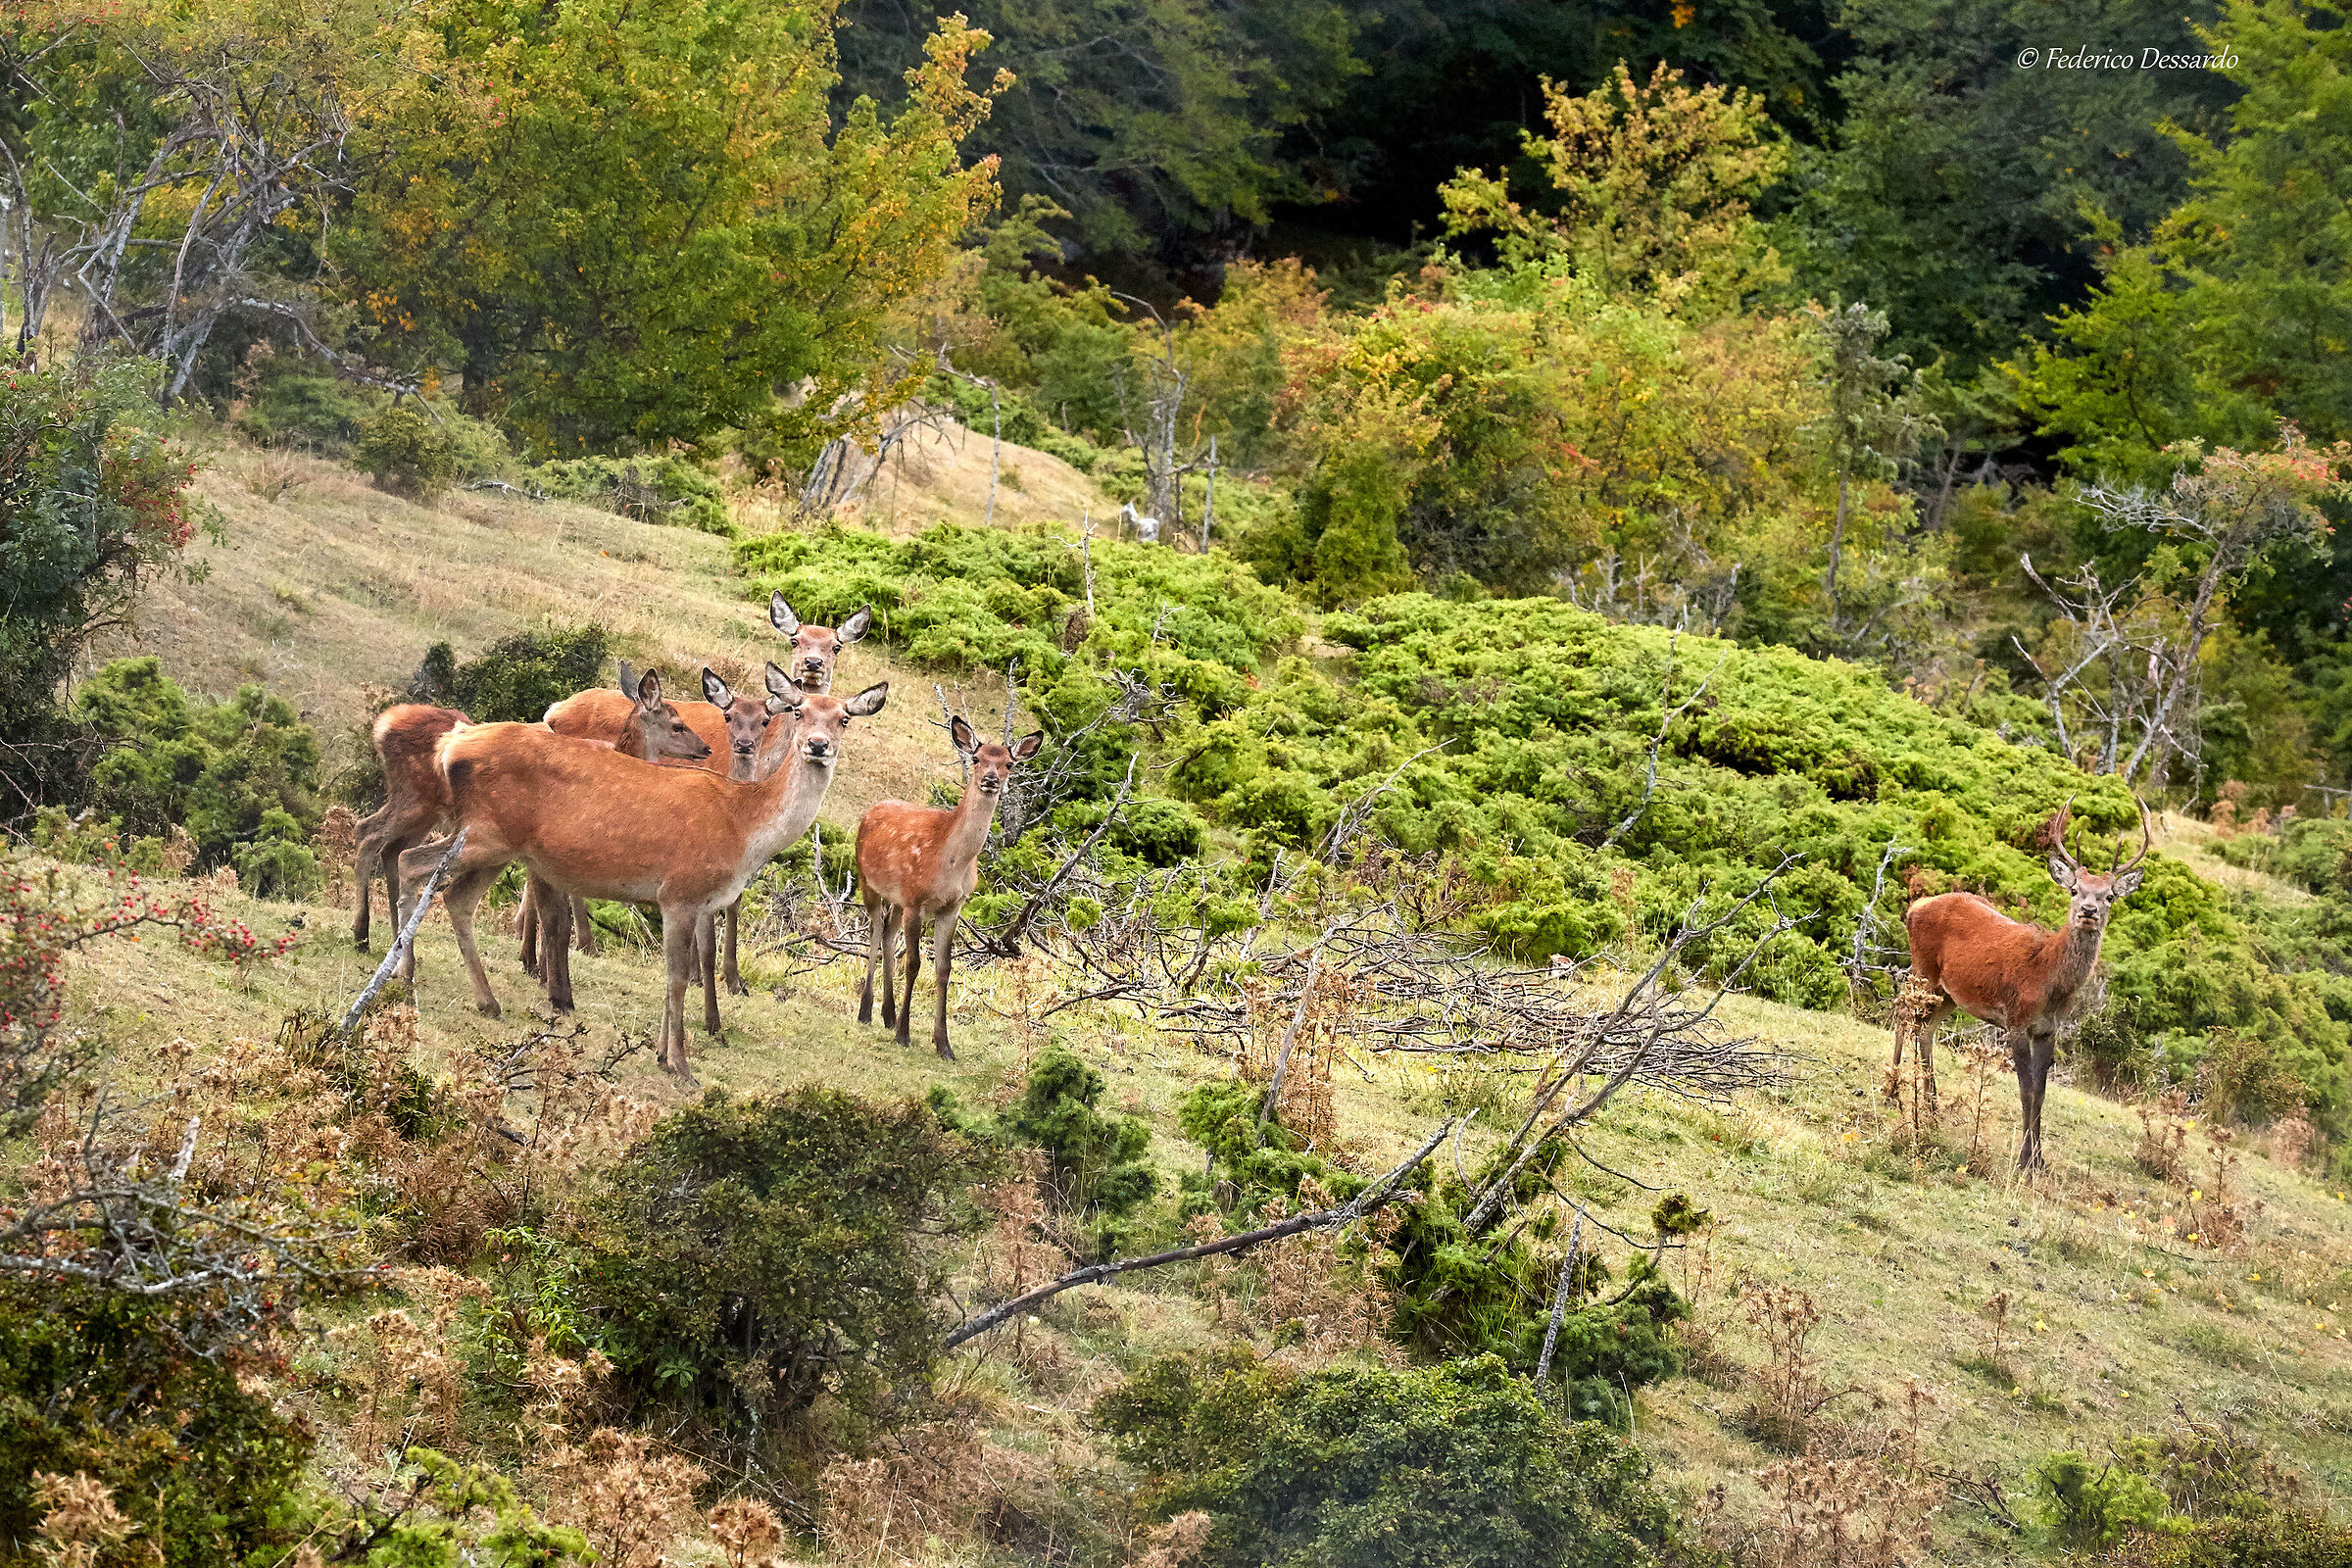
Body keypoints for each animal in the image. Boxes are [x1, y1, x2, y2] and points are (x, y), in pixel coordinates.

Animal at [350, 664, 707, 951]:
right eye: (678, 724)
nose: (705, 748)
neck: (621, 753)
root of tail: (383, 725)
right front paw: (569, 950)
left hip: (426, 810)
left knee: (390, 848)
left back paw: (390, 937)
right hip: (416, 798)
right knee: (368, 832)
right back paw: (362, 934)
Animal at [396, 681, 889, 1084]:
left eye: (843, 718)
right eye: (799, 712)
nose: (818, 745)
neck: (744, 827)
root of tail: (450, 748)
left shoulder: (693, 901)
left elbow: (674, 976)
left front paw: (660, 1055)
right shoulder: (680, 892)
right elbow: (676, 977)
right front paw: (682, 1066)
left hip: (499, 845)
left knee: (455, 897)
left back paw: (483, 1000)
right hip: (484, 832)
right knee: (409, 862)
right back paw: (406, 973)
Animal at [856, 716, 1042, 1060]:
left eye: (1009, 763)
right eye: (976, 758)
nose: (991, 779)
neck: (950, 862)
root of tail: (871, 810)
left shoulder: (952, 906)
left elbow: (944, 968)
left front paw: (943, 1044)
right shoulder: (916, 899)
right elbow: (914, 963)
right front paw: (904, 1033)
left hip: (897, 898)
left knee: (888, 932)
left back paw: (887, 1015)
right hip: (868, 881)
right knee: (874, 931)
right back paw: (866, 1011)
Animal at [1897, 797, 2152, 1170]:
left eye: (2109, 896)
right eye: (2075, 889)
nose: (2088, 911)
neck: (2049, 982)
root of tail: (1915, 906)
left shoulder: (2048, 1029)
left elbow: (2042, 1092)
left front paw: (2040, 1161)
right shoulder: (2016, 1020)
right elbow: (2026, 1089)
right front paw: (2024, 1161)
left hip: (1949, 993)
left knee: (1925, 1029)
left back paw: (1931, 1109)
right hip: (1923, 968)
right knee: (1903, 1011)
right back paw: (1893, 1092)